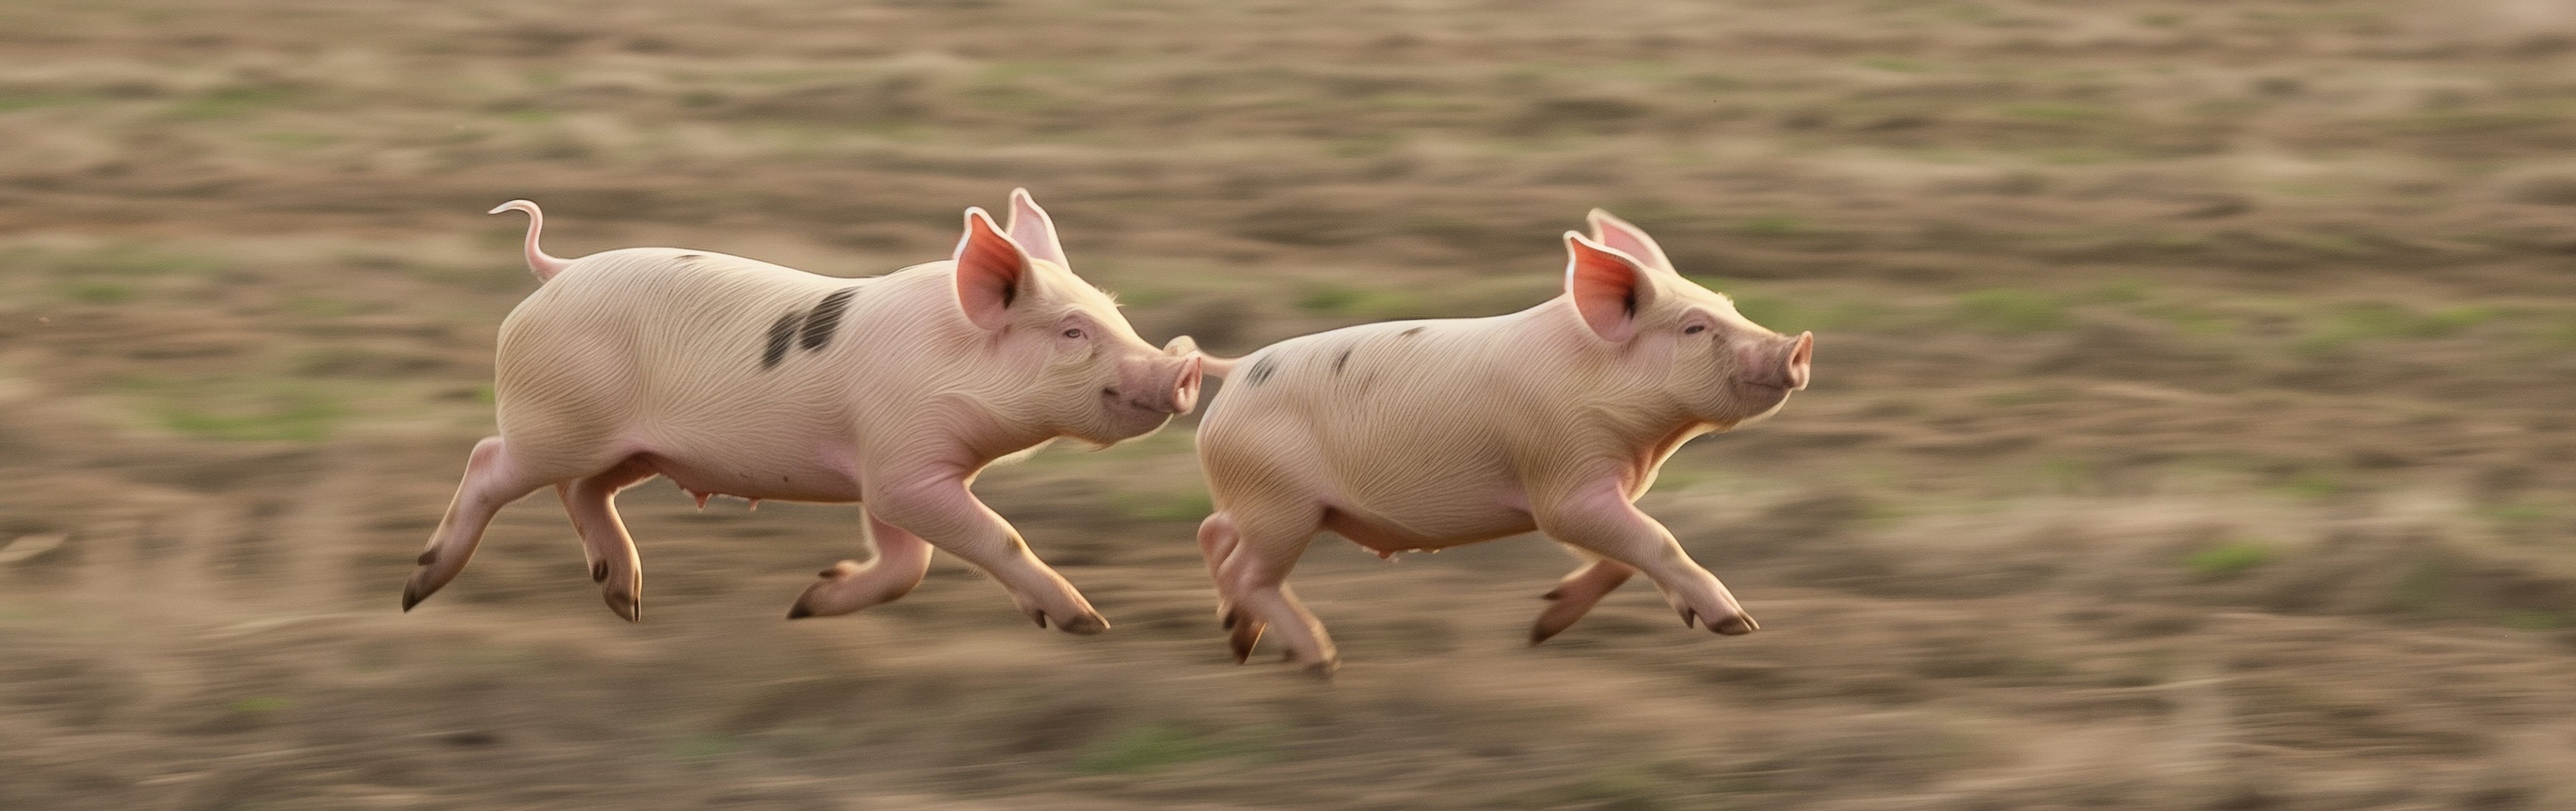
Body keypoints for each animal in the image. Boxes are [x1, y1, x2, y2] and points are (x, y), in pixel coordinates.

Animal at [403, 189, 1203, 635]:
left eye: (1116, 312)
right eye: (1072, 332)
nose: (1185, 367)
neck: (949, 362)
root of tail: (556, 274)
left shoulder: (883, 472)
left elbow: (908, 564)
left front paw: (805, 604)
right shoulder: (905, 466)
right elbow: (992, 537)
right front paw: (1089, 623)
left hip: (626, 449)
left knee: (583, 491)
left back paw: (626, 603)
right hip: (554, 424)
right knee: (489, 461)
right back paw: (418, 590)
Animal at [1187, 210, 1812, 673]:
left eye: (1729, 305)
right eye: (1694, 328)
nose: (1798, 344)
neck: (1649, 444)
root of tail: (1235, 370)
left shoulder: (1593, 489)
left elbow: (1621, 559)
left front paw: (1541, 627)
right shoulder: (1565, 479)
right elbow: (1654, 540)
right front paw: (1738, 625)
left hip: (1267, 504)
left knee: (1214, 535)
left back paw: (1239, 639)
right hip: (1279, 504)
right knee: (1252, 572)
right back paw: (1318, 660)